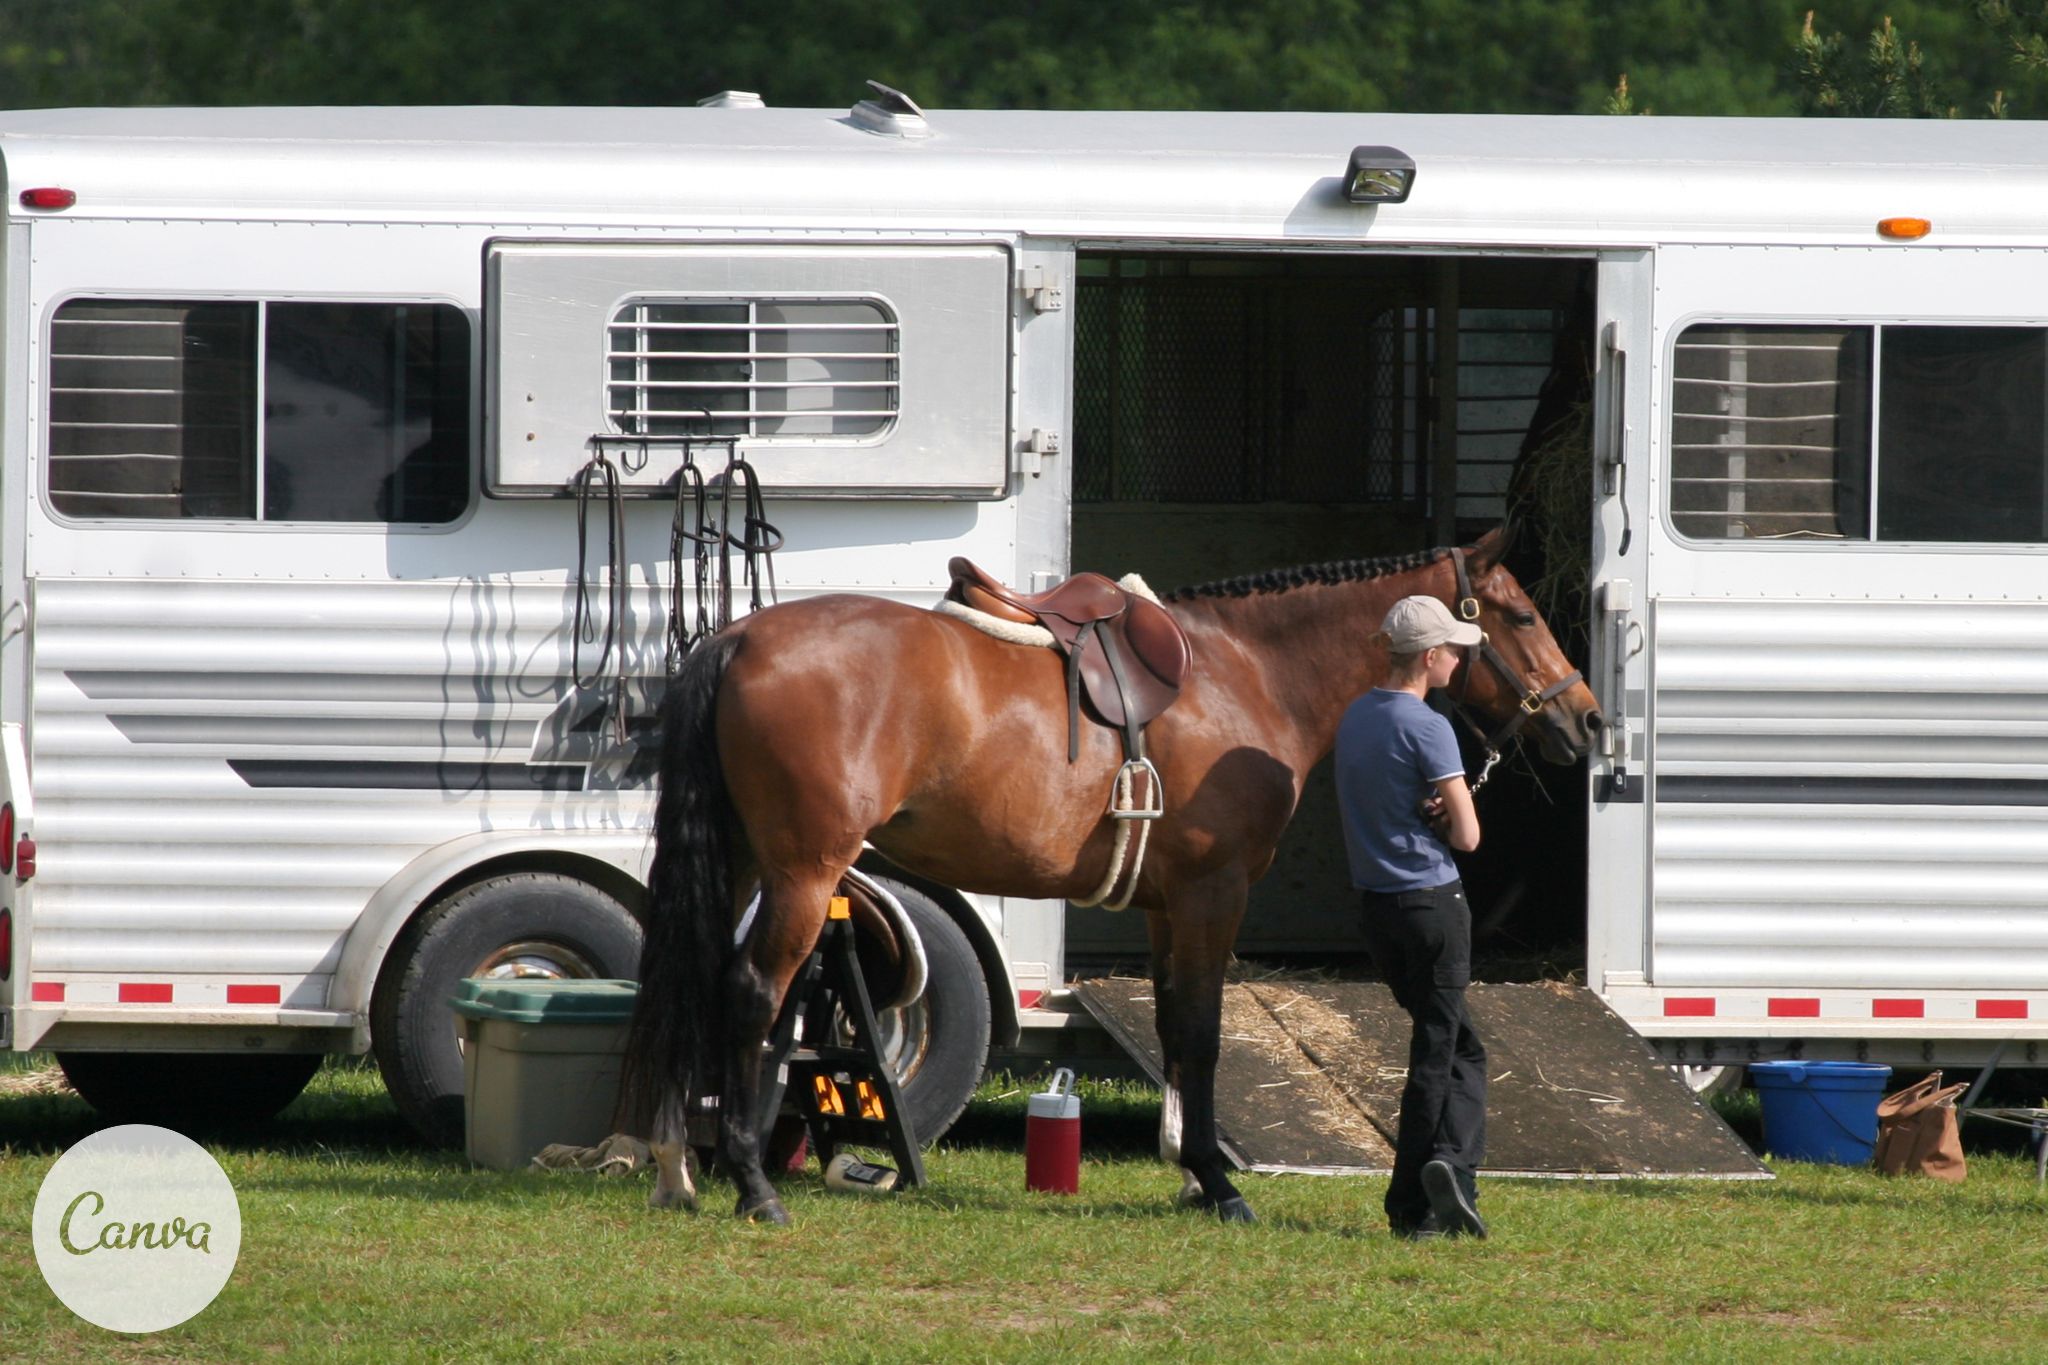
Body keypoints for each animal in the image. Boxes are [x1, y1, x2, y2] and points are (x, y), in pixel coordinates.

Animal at [618, 527, 1602, 1225]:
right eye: (1519, 614)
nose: (1588, 719)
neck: (1247, 672)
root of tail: (739, 637)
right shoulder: (1213, 892)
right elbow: (1202, 1032)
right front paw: (1217, 1183)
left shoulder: (1168, 905)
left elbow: (1173, 1028)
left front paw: (1192, 1172)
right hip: (802, 869)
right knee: (751, 993)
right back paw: (752, 1185)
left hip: (749, 865)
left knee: (695, 982)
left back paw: (677, 1167)